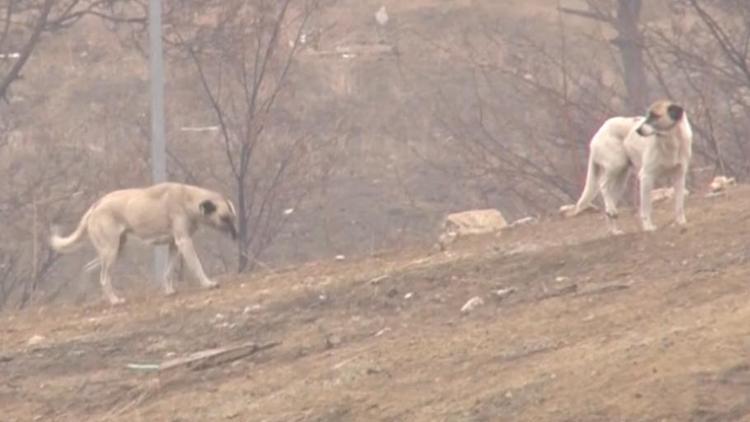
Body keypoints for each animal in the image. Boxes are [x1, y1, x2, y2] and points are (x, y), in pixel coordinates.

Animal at [50, 181, 238, 304]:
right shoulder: (184, 242)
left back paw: (82, 295)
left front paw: (169, 291)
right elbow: (197, 266)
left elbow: (167, 272)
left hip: (116, 251)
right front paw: (208, 283)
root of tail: (95, 206)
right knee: (103, 278)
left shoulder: (174, 245)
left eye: (232, 217)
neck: (188, 198)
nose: (237, 236)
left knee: (88, 268)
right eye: (224, 218)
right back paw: (115, 300)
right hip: (111, 252)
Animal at [580, 101, 696, 236]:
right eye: (647, 115)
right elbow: (646, 208)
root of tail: (600, 131)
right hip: (615, 165)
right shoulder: (646, 176)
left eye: (655, 116)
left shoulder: (679, 175)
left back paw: (614, 227)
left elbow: (679, 205)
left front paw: (681, 222)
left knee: (609, 198)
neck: (671, 140)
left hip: (621, 179)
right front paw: (648, 227)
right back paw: (612, 212)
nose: (638, 130)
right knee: (602, 184)